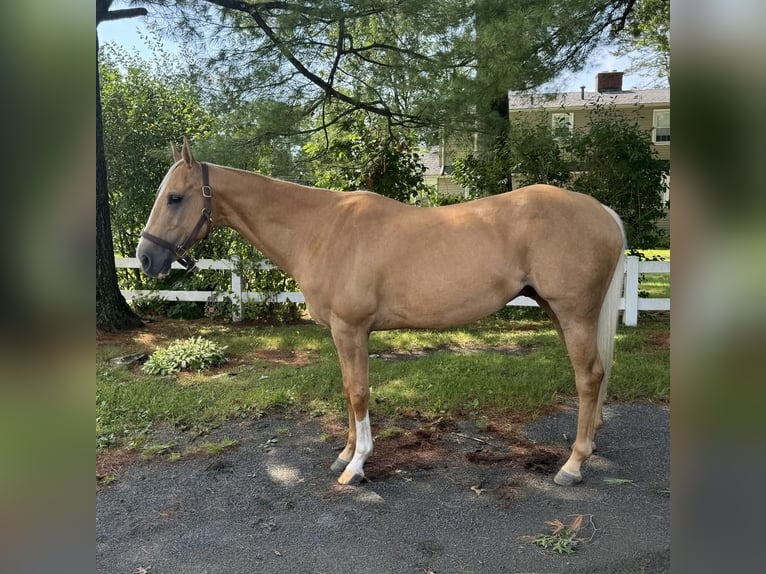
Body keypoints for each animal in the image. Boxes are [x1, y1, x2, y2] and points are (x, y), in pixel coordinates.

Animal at [138, 137, 628, 488]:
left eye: (175, 198)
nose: (145, 258)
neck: (321, 228)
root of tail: (601, 211)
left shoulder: (351, 329)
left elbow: (358, 392)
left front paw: (355, 466)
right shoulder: (344, 334)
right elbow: (347, 389)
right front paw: (345, 451)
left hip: (575, 315)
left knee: (589, 378)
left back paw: (573, 465)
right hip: (558, 312)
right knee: (596, 377)